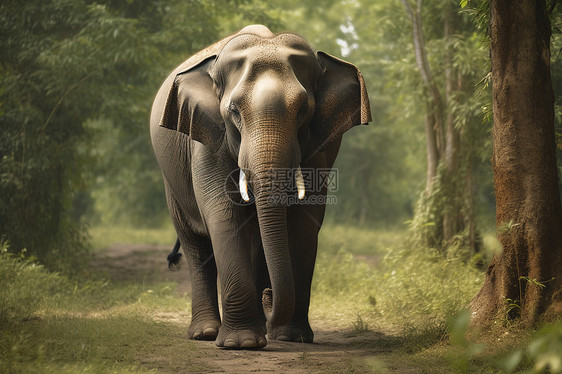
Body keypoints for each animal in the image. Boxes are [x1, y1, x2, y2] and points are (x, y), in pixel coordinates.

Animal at [149, 24, 370, 350]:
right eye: (234, 111)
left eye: (303, 110)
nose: (269, 296)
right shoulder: (207, 141)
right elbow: (222, 213)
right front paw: (240, 344)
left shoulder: (319, 148)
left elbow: (305, 220)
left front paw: (292, 337)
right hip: (172, 182)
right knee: (196, 246)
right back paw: (205, 333)